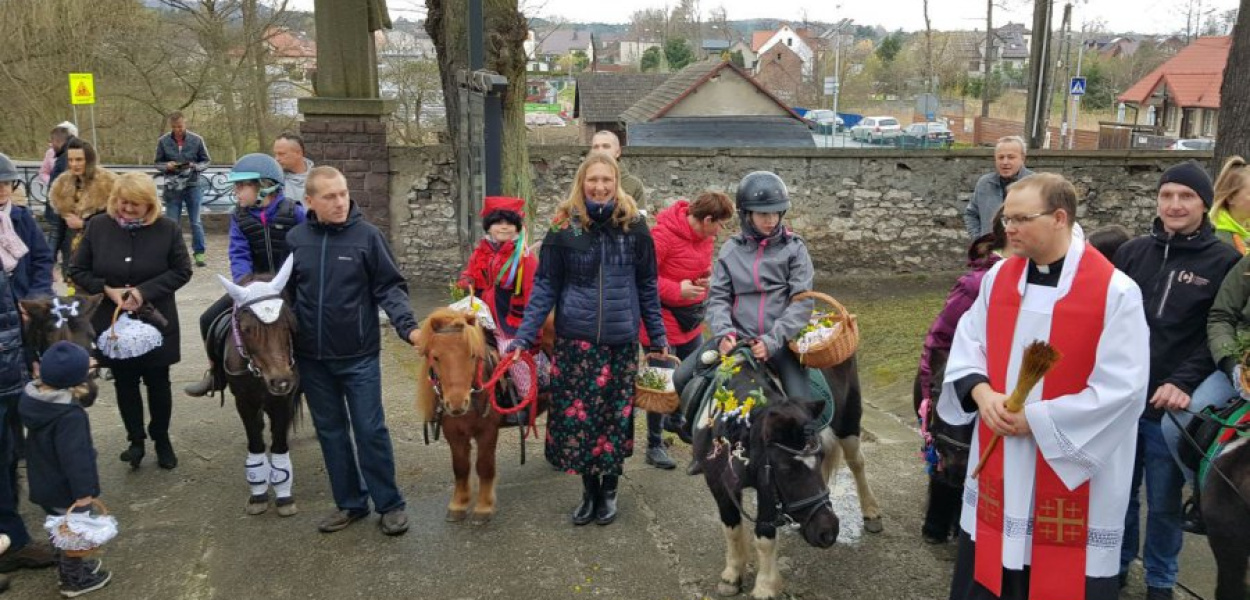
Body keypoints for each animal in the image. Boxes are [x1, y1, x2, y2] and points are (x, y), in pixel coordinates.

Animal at [213, 256, 301, 515]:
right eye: (247, 329)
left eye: (287, 324)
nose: (281, 380)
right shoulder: (244, 401)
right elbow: (255, 442)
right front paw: (258, 494)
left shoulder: (283, 400)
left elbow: (279, 443)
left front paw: (284, 497)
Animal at [415, 310, 552, 525]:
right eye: (435, 357)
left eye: (472, 355)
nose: (457, 404)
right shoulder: (453, 433)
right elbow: (461, 467)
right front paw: (458, 504)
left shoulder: (487, 431)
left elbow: (484, 466)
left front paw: (483, 507)